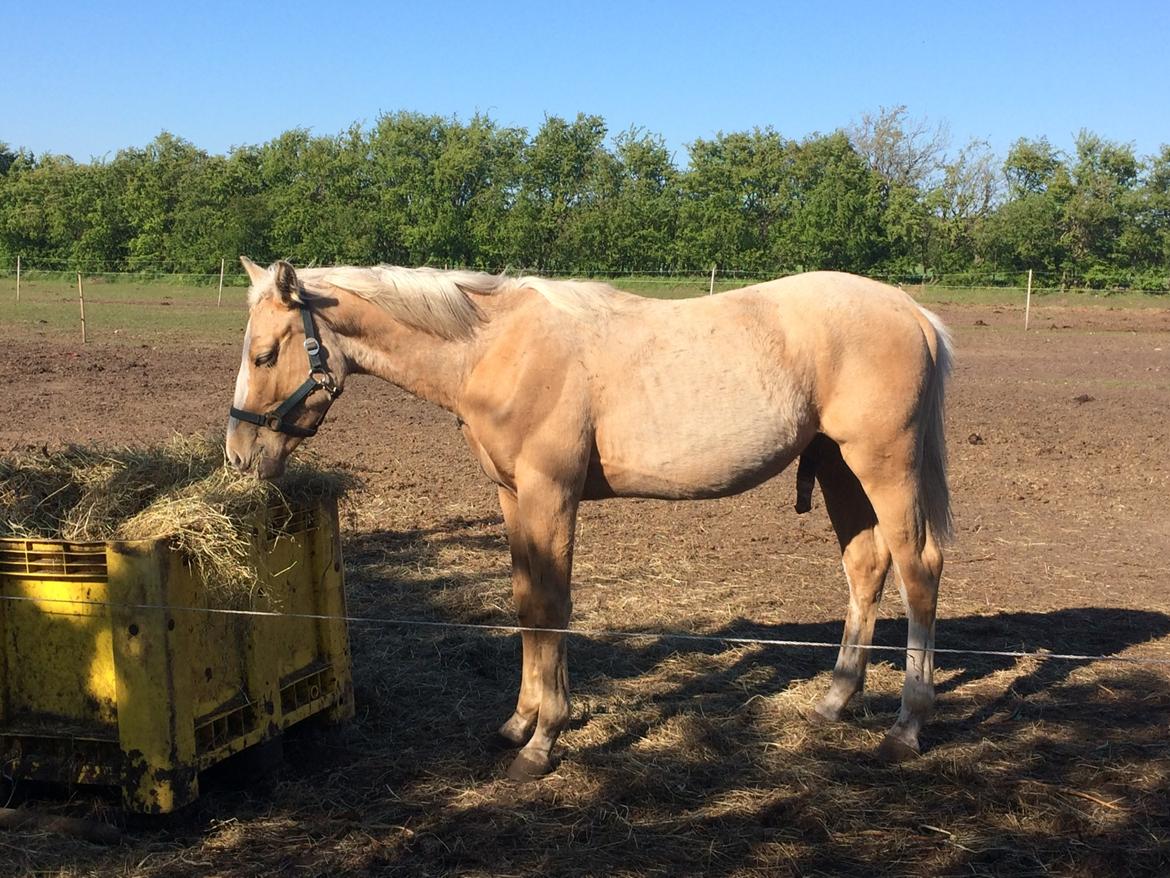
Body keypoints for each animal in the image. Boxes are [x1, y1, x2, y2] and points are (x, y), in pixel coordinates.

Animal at [225, 257, 950, 782]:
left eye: (264, 354)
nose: (237, 456)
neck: (495, 348)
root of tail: (913, 313)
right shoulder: (514, 495)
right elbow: (528, 601)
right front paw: (520, 722)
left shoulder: (550, 493)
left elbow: (550, 605)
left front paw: (542, 740)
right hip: (836, 466)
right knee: (866, 567)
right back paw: (835, 700)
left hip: (883, 465)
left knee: (919, 570)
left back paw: (907, 728)